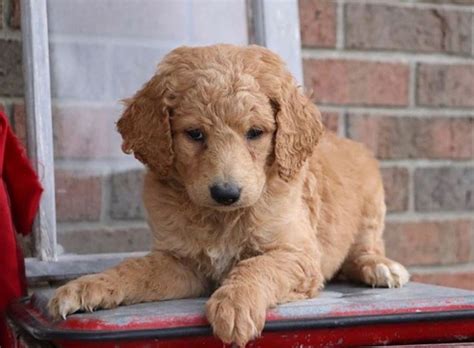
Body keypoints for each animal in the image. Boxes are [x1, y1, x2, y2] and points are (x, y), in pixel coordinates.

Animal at [49, 44, 412, 346]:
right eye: (194, 134)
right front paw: (86, 287)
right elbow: (135, 270)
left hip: (371, 204)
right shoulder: (181, 262)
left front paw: (235, 304)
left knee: (363, 250)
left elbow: (258, 266)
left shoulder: (297, 254)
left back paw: (380, 267)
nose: (226, 193)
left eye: (255, 133)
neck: (222, 218)